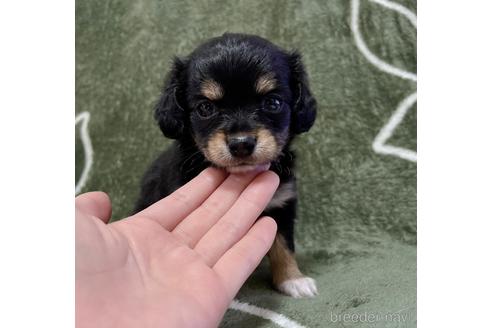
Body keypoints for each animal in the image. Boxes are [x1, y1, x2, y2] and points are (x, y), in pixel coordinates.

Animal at [135, 33, 320, 298]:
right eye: (205, 108)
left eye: (273, 103)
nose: (241, 144)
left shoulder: (281, 203)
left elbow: (284, 245)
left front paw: (293, 279)